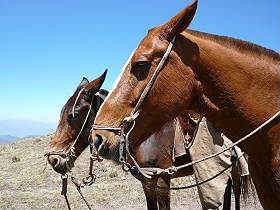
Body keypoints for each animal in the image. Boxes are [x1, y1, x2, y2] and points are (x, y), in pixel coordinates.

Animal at [48, 76, 249, 210]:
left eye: (73, 115)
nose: (53, 160)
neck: (145, 138)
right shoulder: (147, 180)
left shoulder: (162, 178)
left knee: (235, 192)